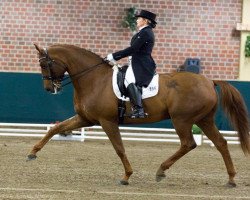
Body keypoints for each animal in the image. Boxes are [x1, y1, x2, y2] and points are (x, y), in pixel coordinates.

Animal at [29, 43, 250, 188]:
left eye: (44, 64)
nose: (49, 88)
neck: (94, 79)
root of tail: (209, 81)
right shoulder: (86, 119)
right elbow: (56, 128)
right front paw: (33, 152)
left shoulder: (107, 121)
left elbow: (119, 148)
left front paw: (127, 176)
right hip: (203, 120)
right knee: (221, 143)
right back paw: (231, 179)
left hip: (182, 120)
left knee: (188, 144)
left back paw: (161, 170)